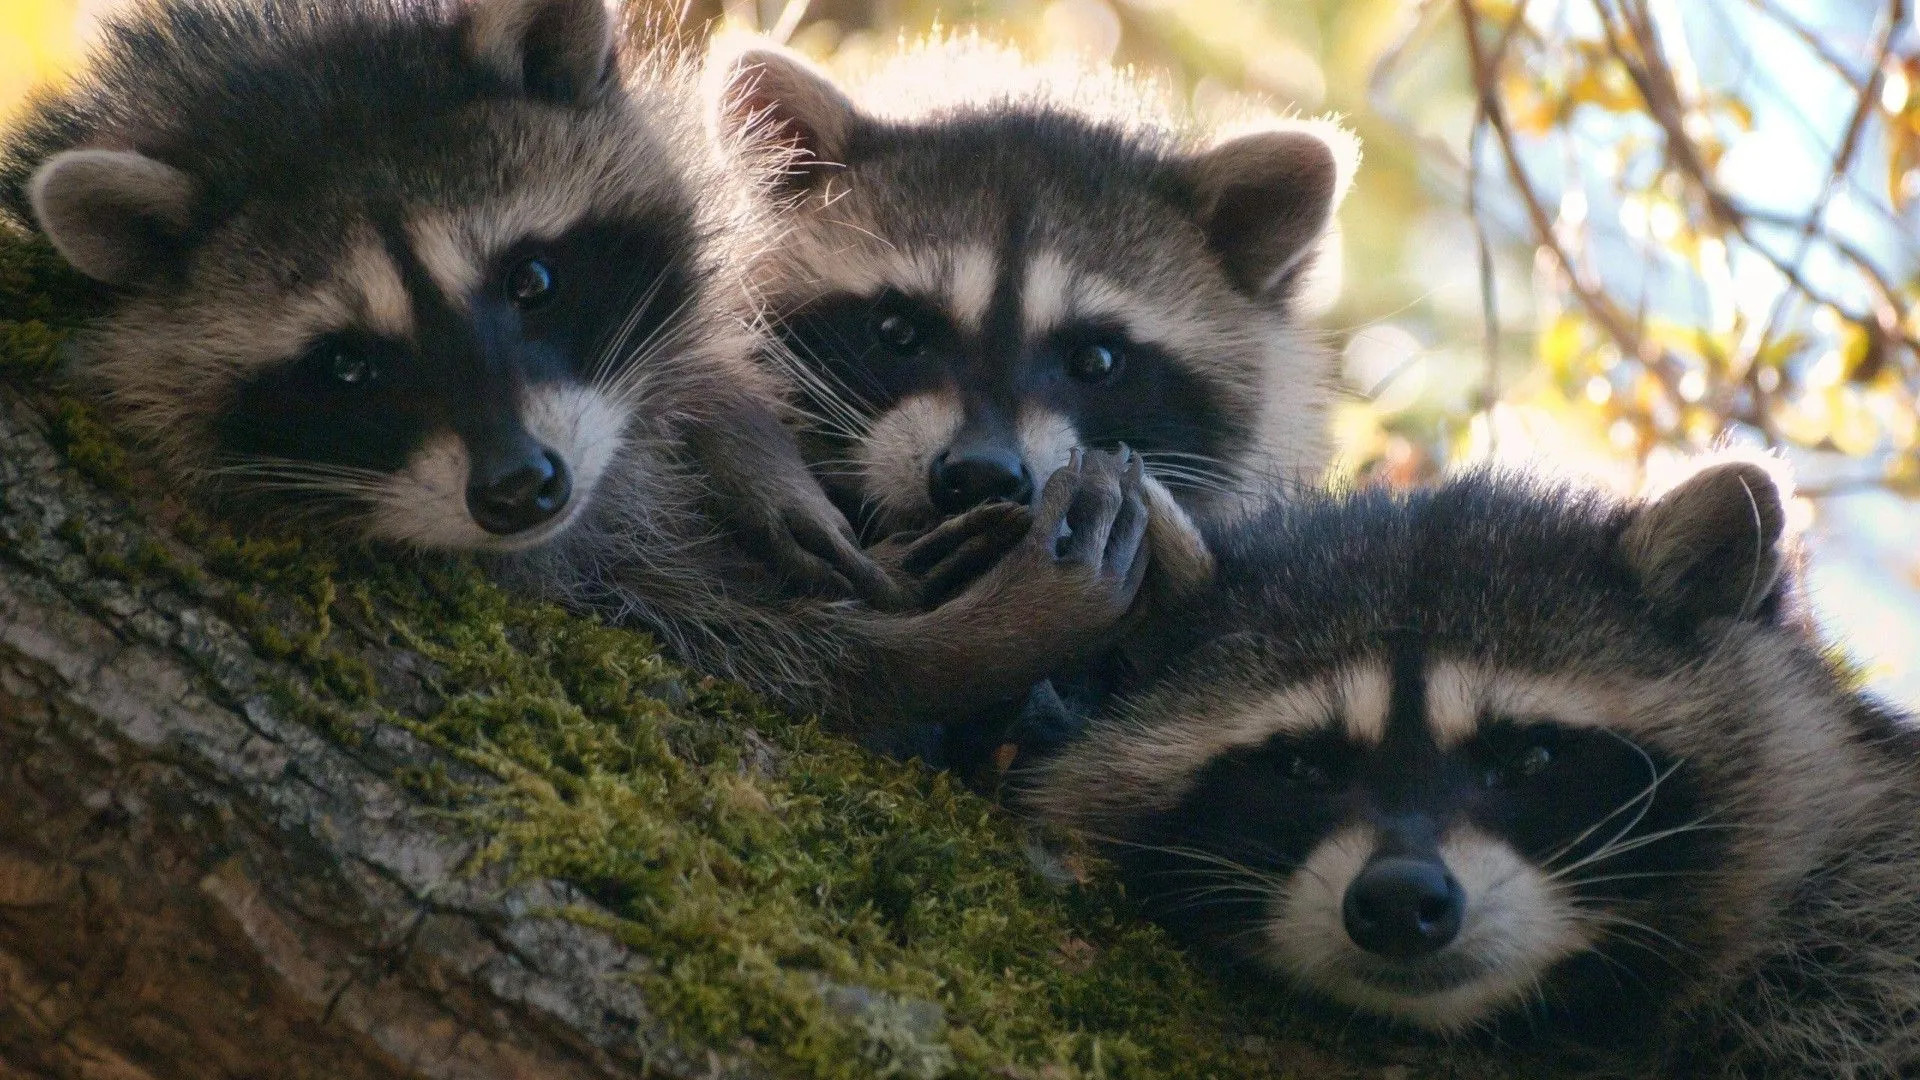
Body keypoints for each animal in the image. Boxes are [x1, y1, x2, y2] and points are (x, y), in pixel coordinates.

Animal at [1, 0, 1158, 734]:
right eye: (346, 366)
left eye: (533, 280)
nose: (522, 488)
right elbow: (760, 655)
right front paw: (955, 649)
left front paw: (746, 443)